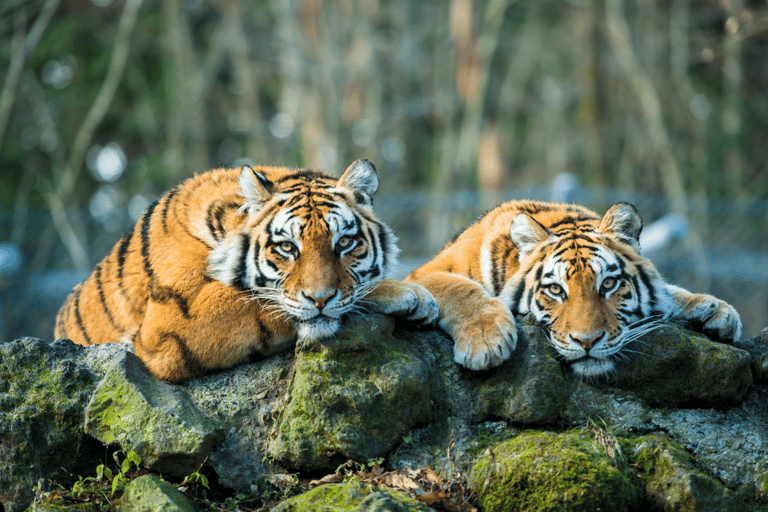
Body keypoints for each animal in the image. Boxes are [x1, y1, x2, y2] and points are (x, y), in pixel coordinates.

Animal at [54, 158, 438, 382]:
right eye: (287, 247)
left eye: (344, 243)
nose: (320, 299)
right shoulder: (171, 324)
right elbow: (261, 301)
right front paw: (408, 293)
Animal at [404, 202, 740, 378]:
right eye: (555, 289)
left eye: (608, 284)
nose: (587, 342)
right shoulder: (421, 274)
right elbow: (461, 288)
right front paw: (485, 342)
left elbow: (669, 292)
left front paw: (717, 310)